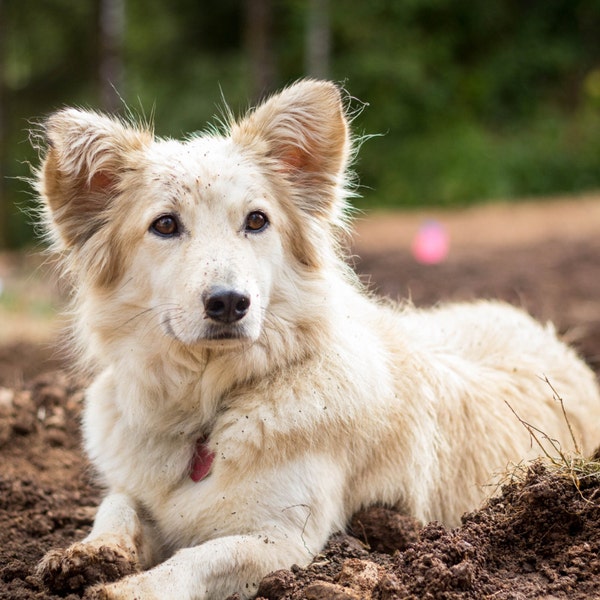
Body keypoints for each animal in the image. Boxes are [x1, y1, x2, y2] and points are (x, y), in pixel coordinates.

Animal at [35, 81, 600, 600]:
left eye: (257, 220)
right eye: (166, 225)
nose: (229, 303)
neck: (213, 404)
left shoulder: (284, 540)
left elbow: (196, 559)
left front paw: (126, 587)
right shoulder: (137, 489)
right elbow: (117, 507)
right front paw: (89, 554)